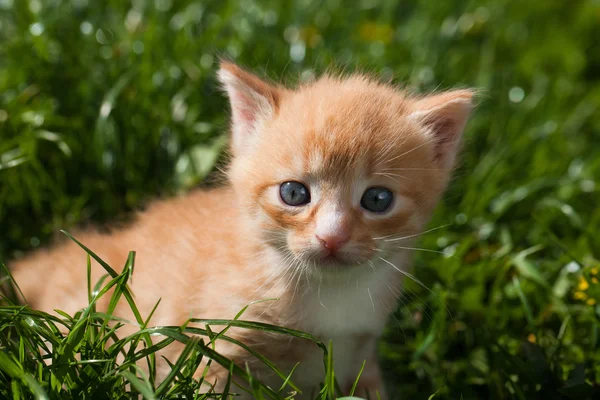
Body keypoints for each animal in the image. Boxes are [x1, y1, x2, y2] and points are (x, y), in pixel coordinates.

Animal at [9, 61, 474, 398]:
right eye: (293, 193)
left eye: (377, 200)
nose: (332, 237)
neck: (325, 298)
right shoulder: (212, 350)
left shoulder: (359, 352)